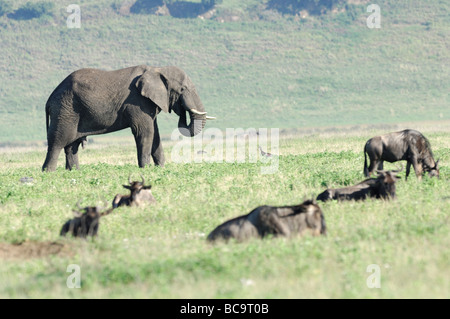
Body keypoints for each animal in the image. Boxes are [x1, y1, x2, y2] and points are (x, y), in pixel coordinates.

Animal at [41, 63, 214, 171]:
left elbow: (155, 134)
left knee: (72, 146)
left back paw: (74, 172)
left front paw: (161, 168)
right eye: (182, 89)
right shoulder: (137, 101)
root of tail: (49, 100)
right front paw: (145, 169)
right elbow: (145, 132)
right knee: (58, 142)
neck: (157, 69)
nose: (181, 110)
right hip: (65, 110)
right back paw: (48, 173)